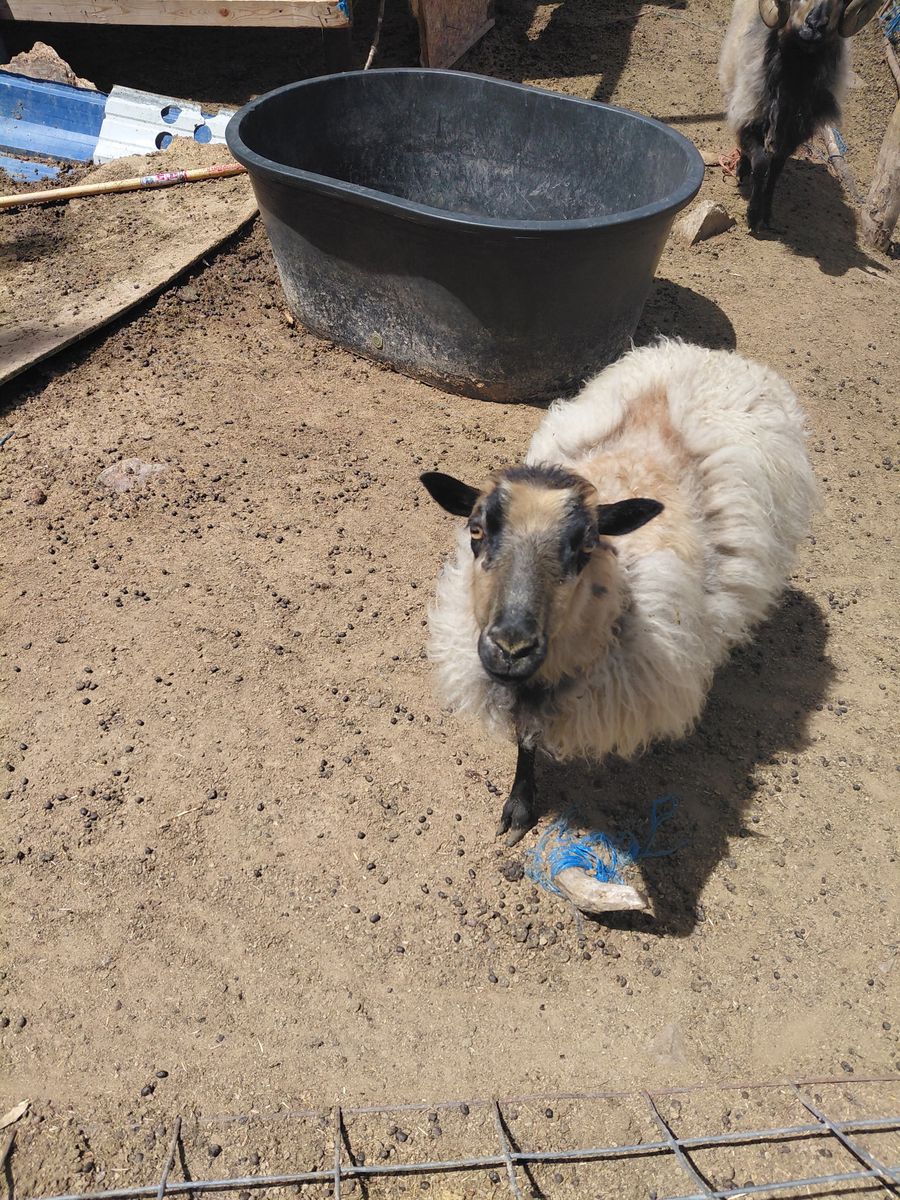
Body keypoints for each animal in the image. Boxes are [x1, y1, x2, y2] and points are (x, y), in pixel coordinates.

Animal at [420, 340, 817, 846]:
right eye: (476, 530)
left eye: (586, 545)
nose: (511, 648)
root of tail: (715, 353)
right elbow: (526, 740)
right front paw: (520, 805)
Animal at [718, 0, 882, 231]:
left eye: (842, 2)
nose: (815, 25)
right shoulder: (747, 117)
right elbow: (761, 164)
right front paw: (752, 215)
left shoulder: (792, 138)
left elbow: (775, 172)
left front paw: (766, 215)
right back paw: (742, 169)